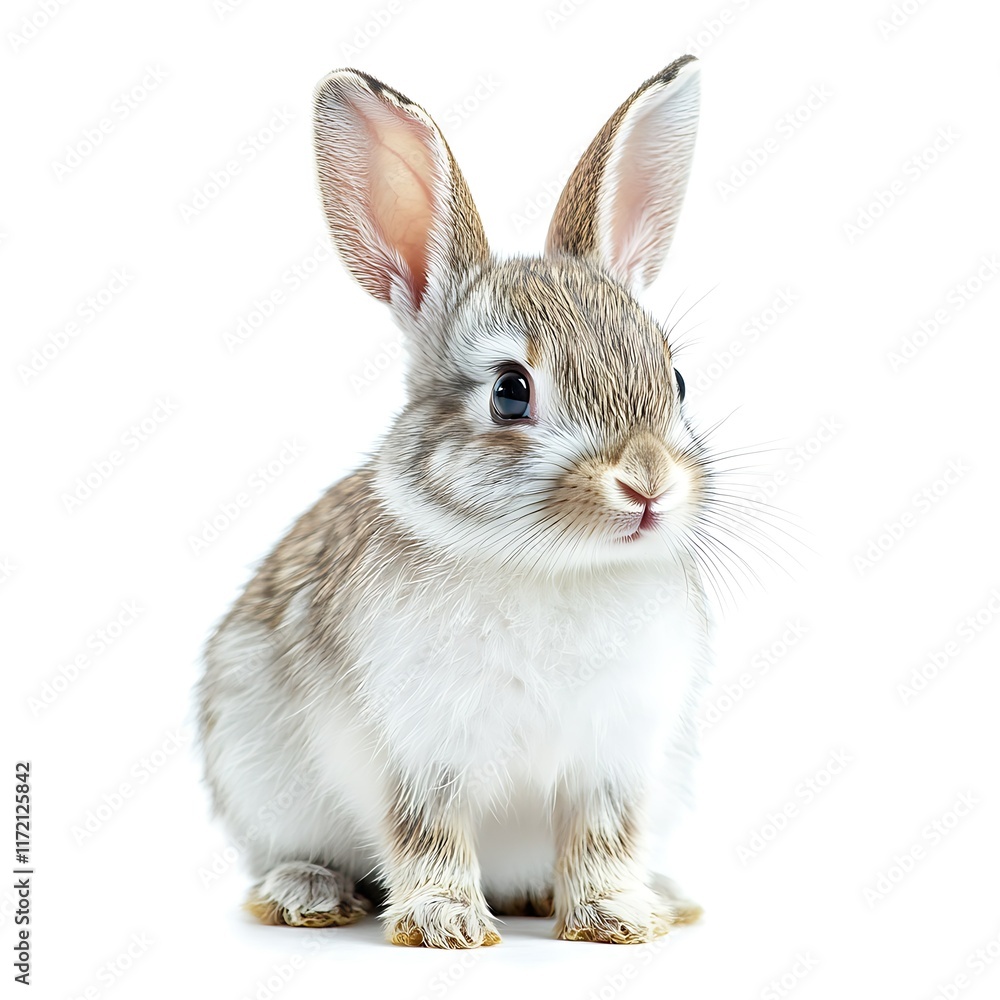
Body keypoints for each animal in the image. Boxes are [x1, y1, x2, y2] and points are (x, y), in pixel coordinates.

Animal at [197, 55, 719, 948]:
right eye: (511, 392)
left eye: (676, 380)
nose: (647, 483)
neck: (553, 566)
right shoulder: (416, 750)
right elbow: (426, 833)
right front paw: (446, 925)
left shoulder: (615, 758)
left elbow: (603, 838)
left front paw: (617, 917)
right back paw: (308, 894)